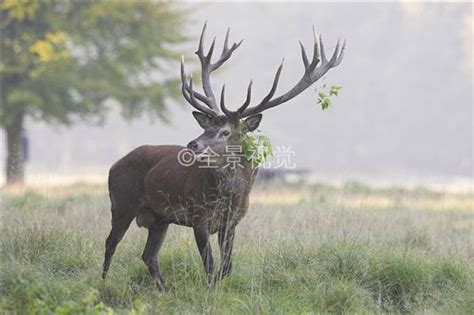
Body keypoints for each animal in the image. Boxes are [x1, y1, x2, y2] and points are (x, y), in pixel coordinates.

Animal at [103, 22, 344, 292]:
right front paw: (210, 291)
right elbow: (209, 265)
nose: (193, 144)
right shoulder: (198, 218)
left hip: (158, 219)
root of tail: (113, 165)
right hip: (122, 202)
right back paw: (102, 285)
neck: (230, 198)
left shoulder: (232, 223)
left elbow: (227, 266)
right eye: (206, 127)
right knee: (111, 244)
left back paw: (163, 291)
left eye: (225, 131)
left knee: (148, 255)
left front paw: (217, 285)